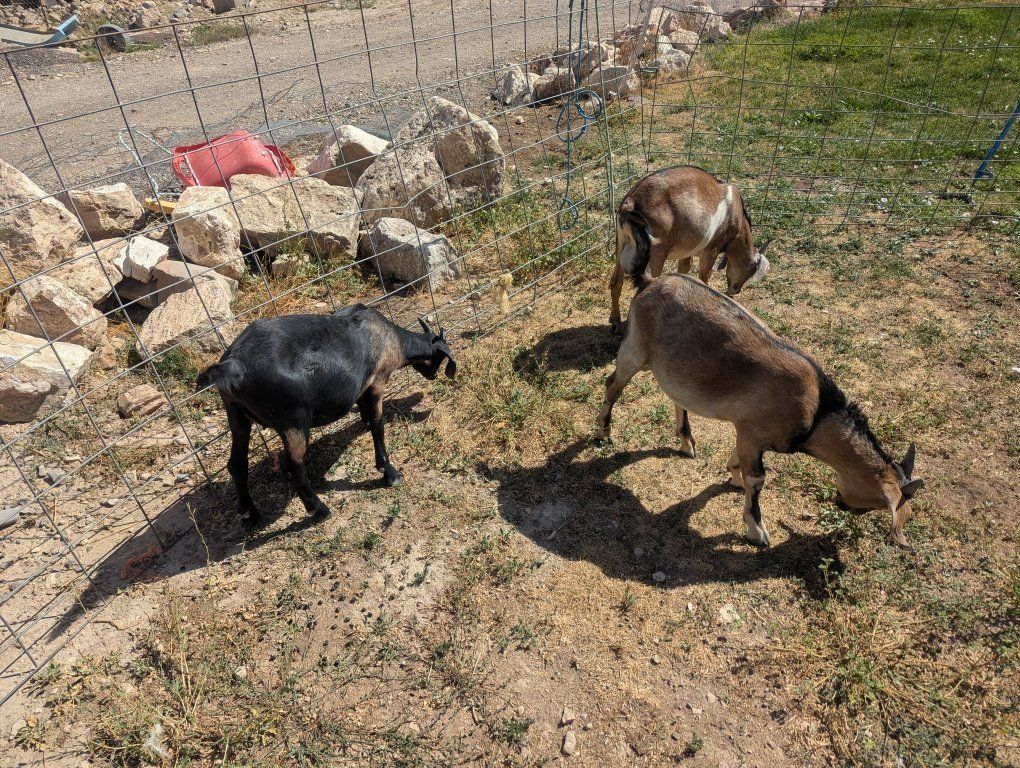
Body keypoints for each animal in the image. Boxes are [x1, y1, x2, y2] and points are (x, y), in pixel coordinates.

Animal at [196, 306, 456, 522]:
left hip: (236, 414)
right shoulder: (377, 382)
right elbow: (378, 425)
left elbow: (364, 411)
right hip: (293, 419)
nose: (432, 375)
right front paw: (389, 473)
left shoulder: (362, 387)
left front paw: (363, 423)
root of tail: (231, 366)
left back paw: (250, 515)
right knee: (293, 466)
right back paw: (319, 510)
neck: (390, 337)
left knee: (237, 464)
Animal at [597, 265, 923, 547]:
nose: (842, 505)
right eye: (876, 503)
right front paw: (757, 532)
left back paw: (687, 443)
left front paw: (733, 476)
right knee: (612, 384)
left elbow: (740, 463)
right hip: (635, 349)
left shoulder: (747, 432)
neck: (817, 411)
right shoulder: (753, 433)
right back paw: (603, 433)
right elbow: (757, 480)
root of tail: (649, 283)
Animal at [609, 165, 770, 334]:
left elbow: (684, 268)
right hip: (656, 252)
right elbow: (704, 276)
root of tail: (630, 203)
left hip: (621, 243)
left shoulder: (688, 250)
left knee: (616, 282)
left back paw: (616, 324)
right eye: (751, 270)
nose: (735, 290)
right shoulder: (711, 249)